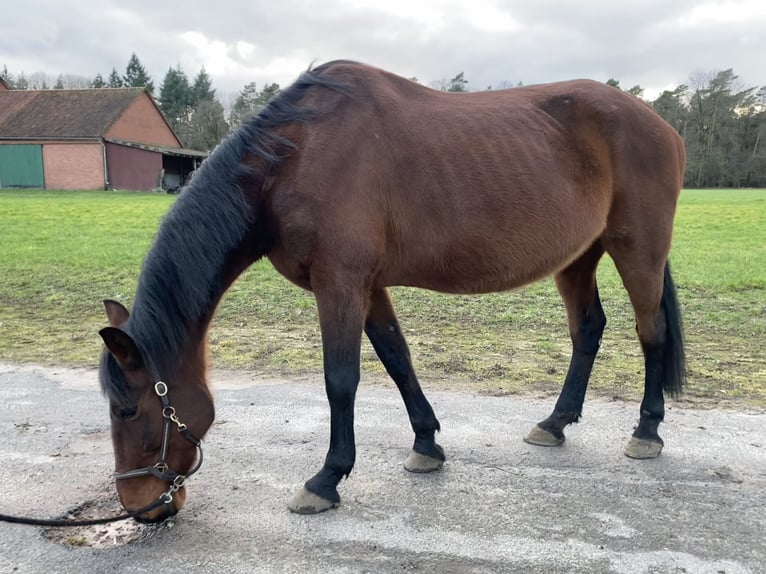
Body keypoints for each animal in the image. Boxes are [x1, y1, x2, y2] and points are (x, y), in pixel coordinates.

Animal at [97, 60, 688, 524]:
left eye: (126, 411)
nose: (139, 507)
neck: (296, 155)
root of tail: (661, 124)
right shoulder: (368, 285)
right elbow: (397, 358)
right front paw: (427, 444)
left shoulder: (340, 283)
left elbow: (341, 381)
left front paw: (326, 479)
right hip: (577, 258)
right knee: (588, 329)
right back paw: (554, 423)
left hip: (637, 250)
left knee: (650, 330)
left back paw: (647, 432)